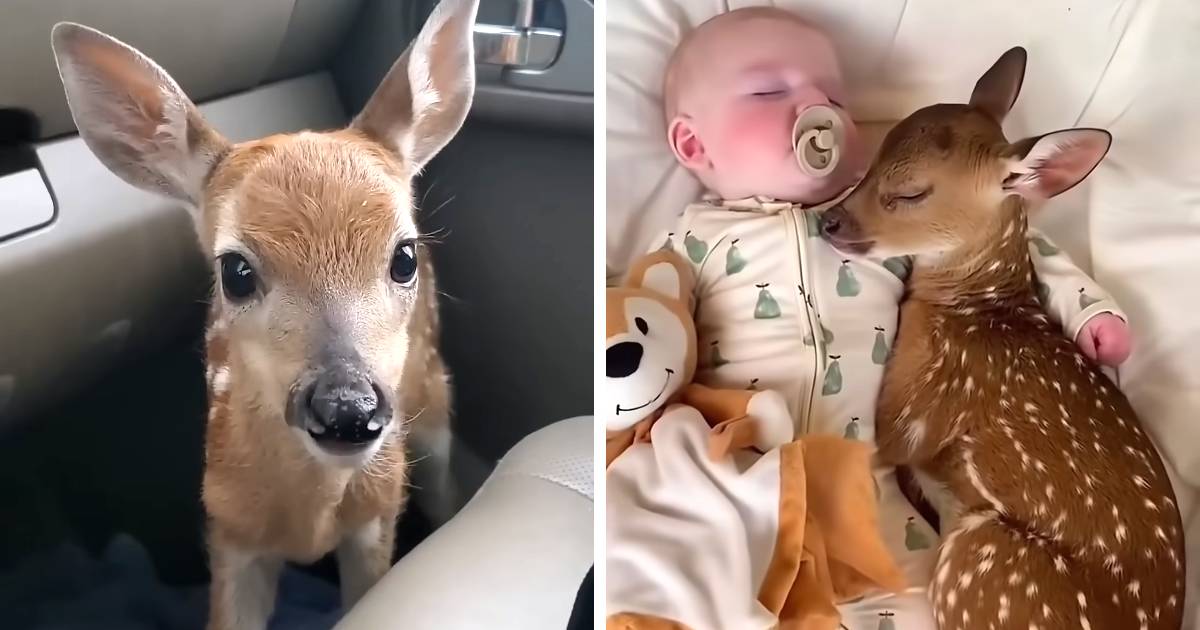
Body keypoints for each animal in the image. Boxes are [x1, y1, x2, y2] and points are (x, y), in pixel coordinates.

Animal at [50, 0, 477, 627]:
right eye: (235, 271)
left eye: (403, 256)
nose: (348, 409)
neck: (310, 517)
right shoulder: (229, 523)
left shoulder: (377, 513)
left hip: (433, 392)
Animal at [818, 47, 1184, 630]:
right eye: (874, 158)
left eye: (911, 192)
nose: (829, 222)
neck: (980, 304)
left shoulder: (913, 407)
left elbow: (893, 443)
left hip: (983, 560)